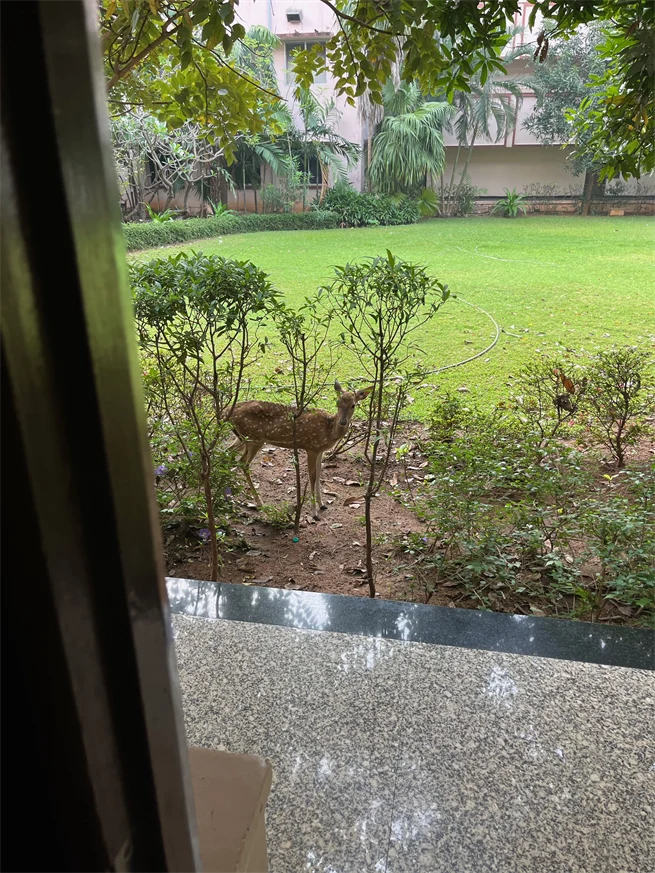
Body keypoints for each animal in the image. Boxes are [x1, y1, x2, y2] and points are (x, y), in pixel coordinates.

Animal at [228, 381, 373, 518]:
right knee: (243, 462)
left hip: (242, 438)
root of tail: (227, 412)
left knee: (229, 452)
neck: (329, 431)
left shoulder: (320, 451)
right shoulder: (311, 447)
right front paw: (314, 513)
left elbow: (319, 474)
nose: (342, 422)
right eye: (337, 403)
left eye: (353, 405)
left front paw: (322, 504)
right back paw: (259, 502)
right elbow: (312, 476)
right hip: (254, 438)